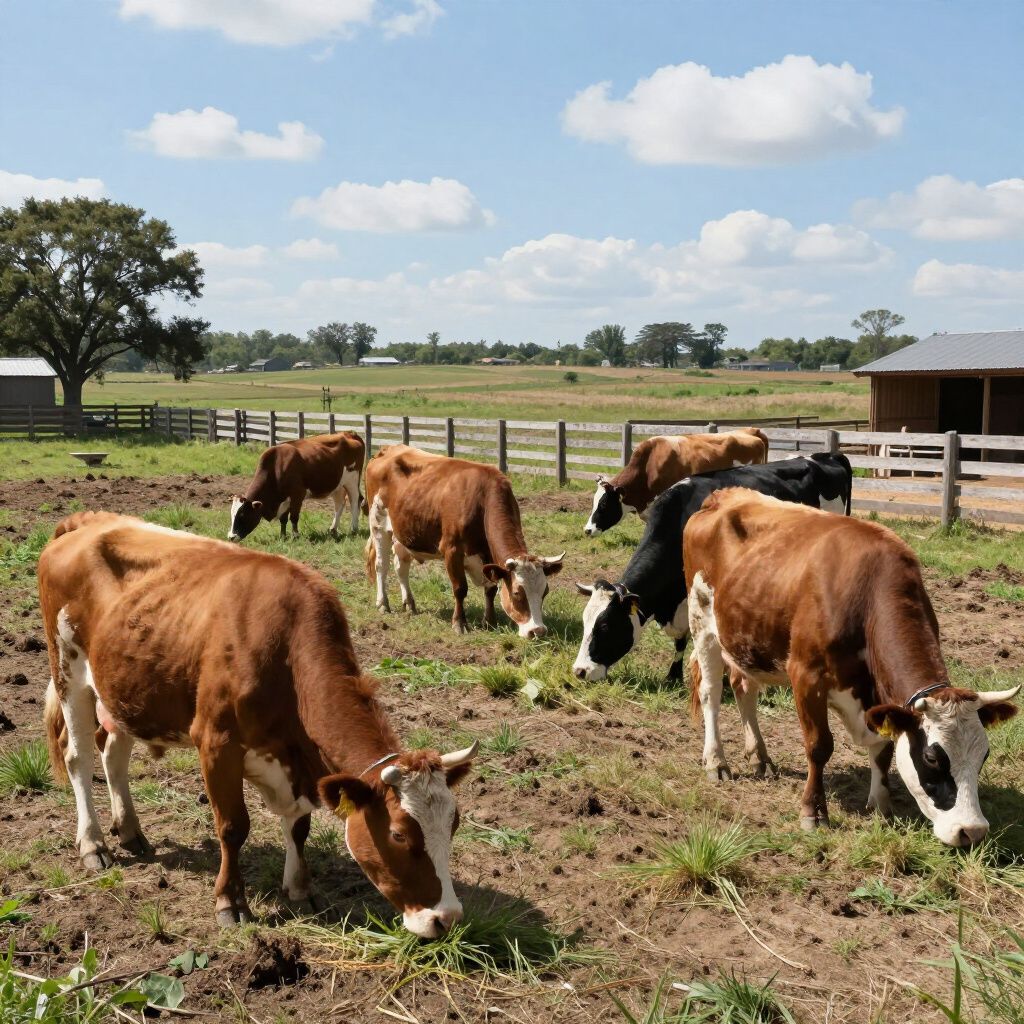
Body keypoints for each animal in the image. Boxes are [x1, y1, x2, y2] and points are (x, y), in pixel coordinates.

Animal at [39, 511, 478, 937]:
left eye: (453, 824)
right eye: (399, 833)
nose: (447, 918)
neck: (284, 648)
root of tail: (87, 522)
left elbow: (299, 827)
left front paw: (300, 889)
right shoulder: (216, 743)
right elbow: (234, 826)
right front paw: (231, 902)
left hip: (125, 690)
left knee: (114, 753)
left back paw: (130, 830)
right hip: (68, 670)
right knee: (79, 758)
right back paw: (93, 845)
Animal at [228, 431, 365, 541]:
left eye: (242, 515)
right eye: (232, 514)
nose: (231, 537)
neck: (277, 466)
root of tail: (349, 433)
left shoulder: (297, 495)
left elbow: (294, 517)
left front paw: (295, 536)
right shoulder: (285, 499)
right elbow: (283, 519)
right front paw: (283, 536)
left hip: (352, 480)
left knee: (355, 501)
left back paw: (354, 529)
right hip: (338, 485)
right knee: (339, 504)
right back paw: (333, 529)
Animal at [364, 445, 563, 638]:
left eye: (545, 591)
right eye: (517, 592)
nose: (537, 631)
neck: (482, 499)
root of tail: (387, 449)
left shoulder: (487, 557)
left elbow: (491, 589)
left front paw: (490, 621)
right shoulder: (452, 550)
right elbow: (460, 588)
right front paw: (459, 623)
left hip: (403, 532)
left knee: (401, 566)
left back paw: (409, 604)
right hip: (378, 524)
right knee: (381, 565)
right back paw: (383, 604)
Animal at [573, 453, 852, 683]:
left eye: (605, 626)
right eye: (585, 622)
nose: (579, 671)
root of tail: (826, 455)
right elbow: (681, 641)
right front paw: (673, 675)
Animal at [683, 489, 1019, 847]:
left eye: (984, 755)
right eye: (932, 758)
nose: (972, 831)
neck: (865, 595)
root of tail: (723, 496)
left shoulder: (878, 696)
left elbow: (884, 750)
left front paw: (882, 807)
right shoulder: (806, 677)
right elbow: (819, 747)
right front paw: (813, 812)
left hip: (745, 640)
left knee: (744, 689)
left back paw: (760, 757)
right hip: (702, 623)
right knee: (711, 694)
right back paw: (716, 762)